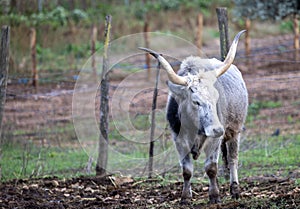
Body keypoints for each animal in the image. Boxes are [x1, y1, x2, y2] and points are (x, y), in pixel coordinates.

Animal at [139, 30, 247, 203]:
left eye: (216, 98)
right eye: (196, 101)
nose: (217, 129)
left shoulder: (215, 140)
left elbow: (211, 168)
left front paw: (214, 196)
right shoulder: (178, 140)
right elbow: (187, 170)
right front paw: (185, 197)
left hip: (234, 130)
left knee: (232, 159)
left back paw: (235, 189)